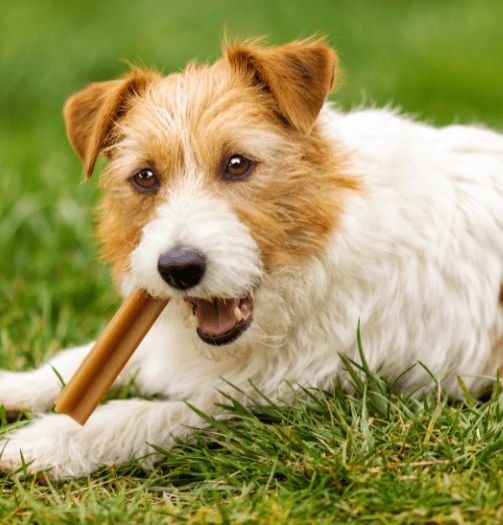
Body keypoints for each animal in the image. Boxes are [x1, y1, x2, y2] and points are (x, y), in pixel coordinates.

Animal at [0, 36, 503, 478]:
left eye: (238, 164)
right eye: (145, 177)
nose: (179, 269)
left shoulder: (288, 400)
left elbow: (157, 413)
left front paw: (47, 441)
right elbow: (77, 361)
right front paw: (14, 386)